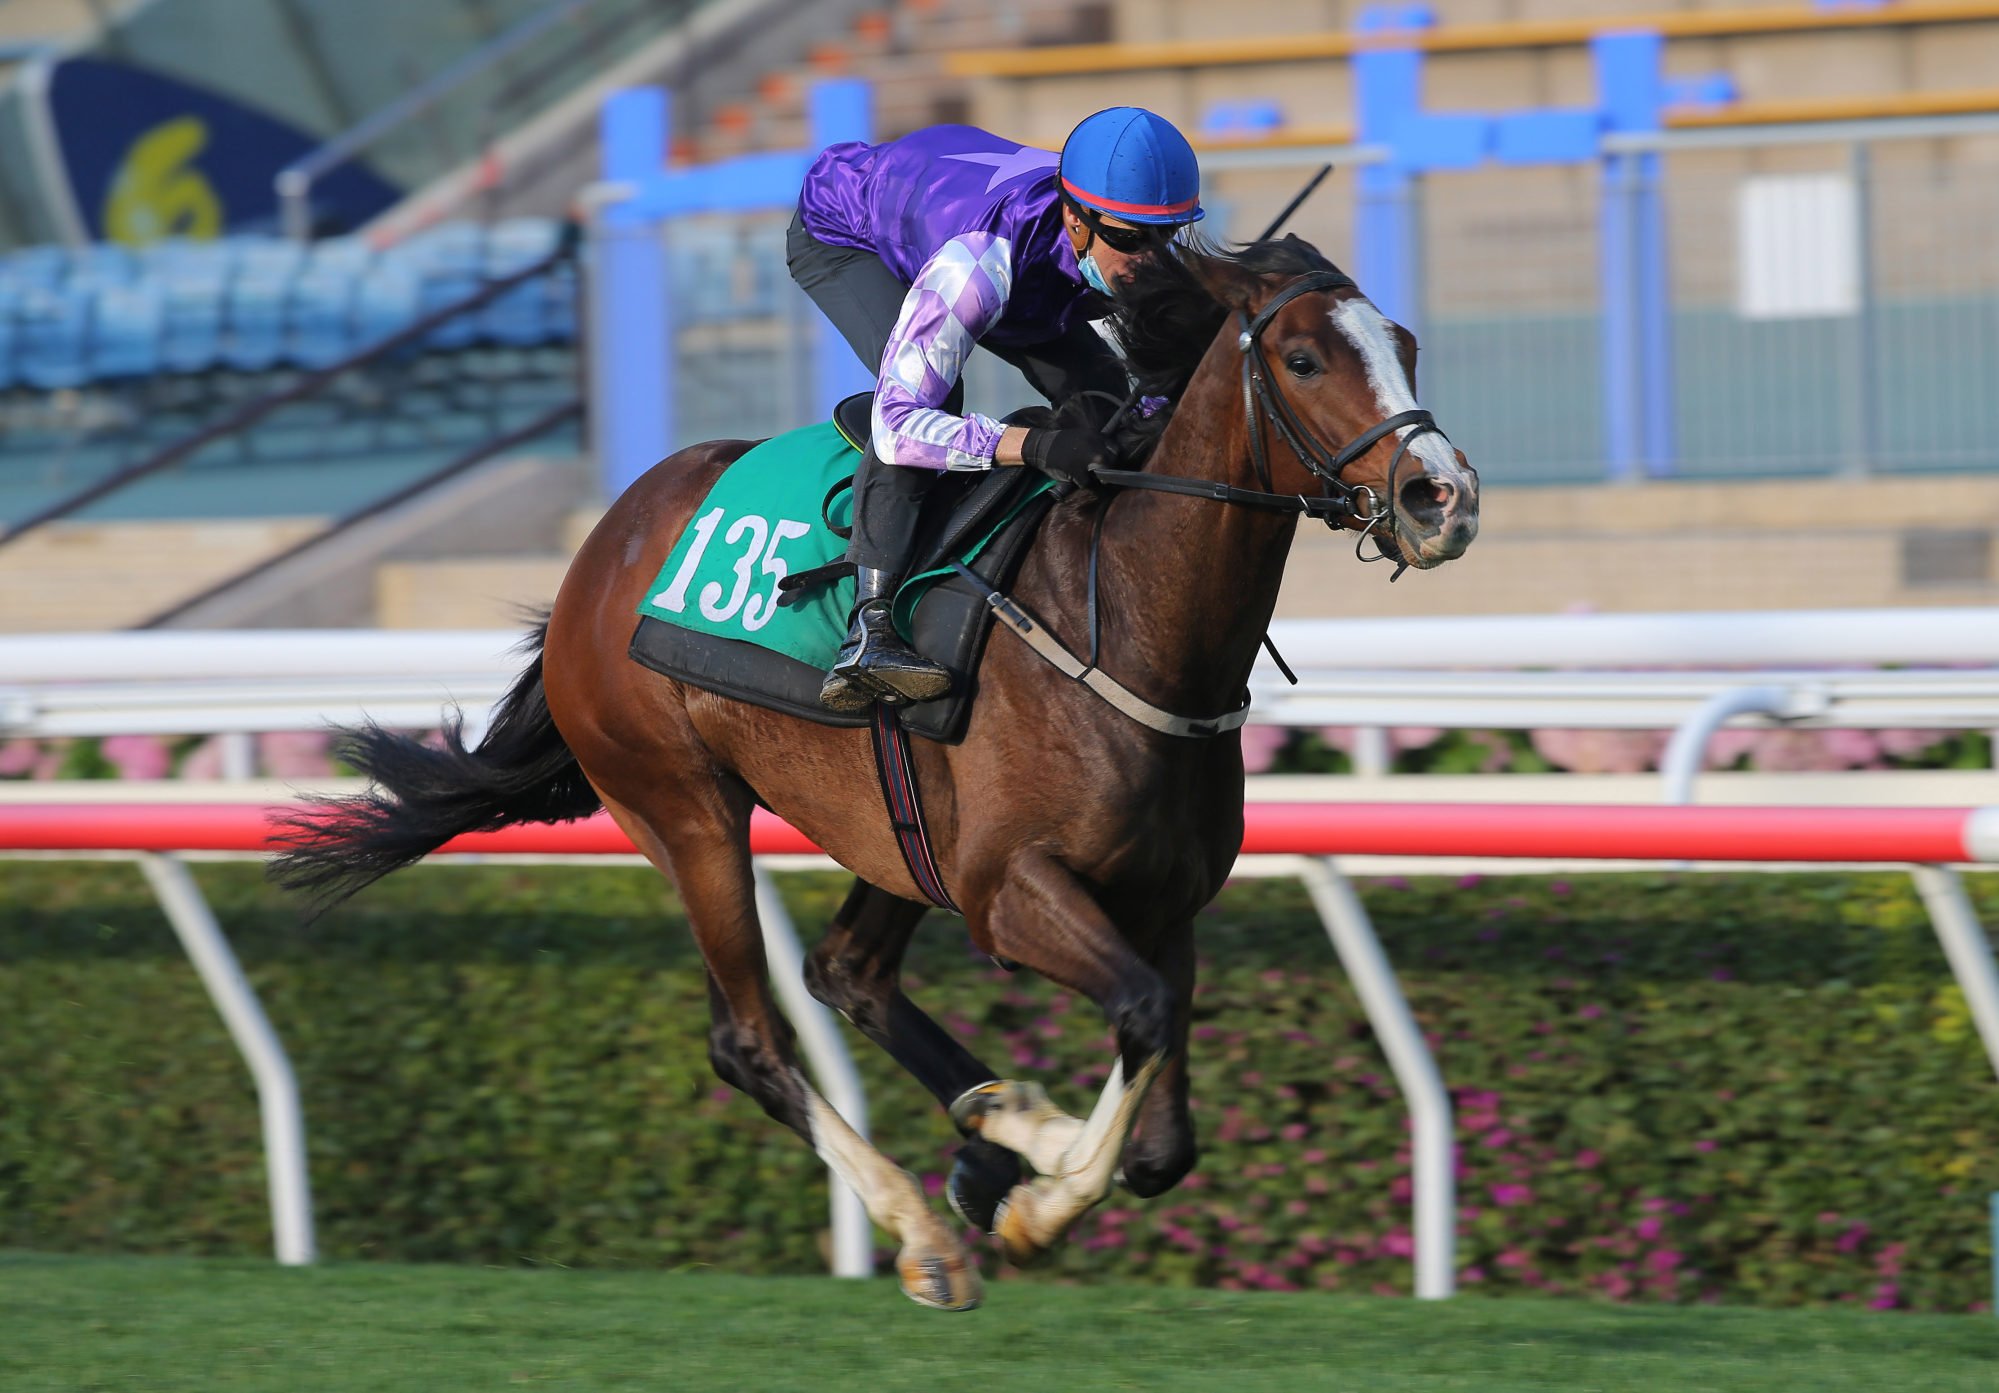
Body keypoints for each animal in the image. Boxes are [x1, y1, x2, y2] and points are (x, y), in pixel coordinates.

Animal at [273, 233, 1479, 1311]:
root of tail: (597, 552)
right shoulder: (1008, 890)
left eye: (1407, 346)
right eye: (1305, 360)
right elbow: (1138, 1014)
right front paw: (1040, 1208)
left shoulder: (1160, 900)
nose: (1442, 496)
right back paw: (927, 1226)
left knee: (845, 972)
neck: (1131, 622)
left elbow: (1163, 1128)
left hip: (899, 839)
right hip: (683, 807)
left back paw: (996, 1132)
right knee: (749, 1039)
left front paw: (1028, 1158)